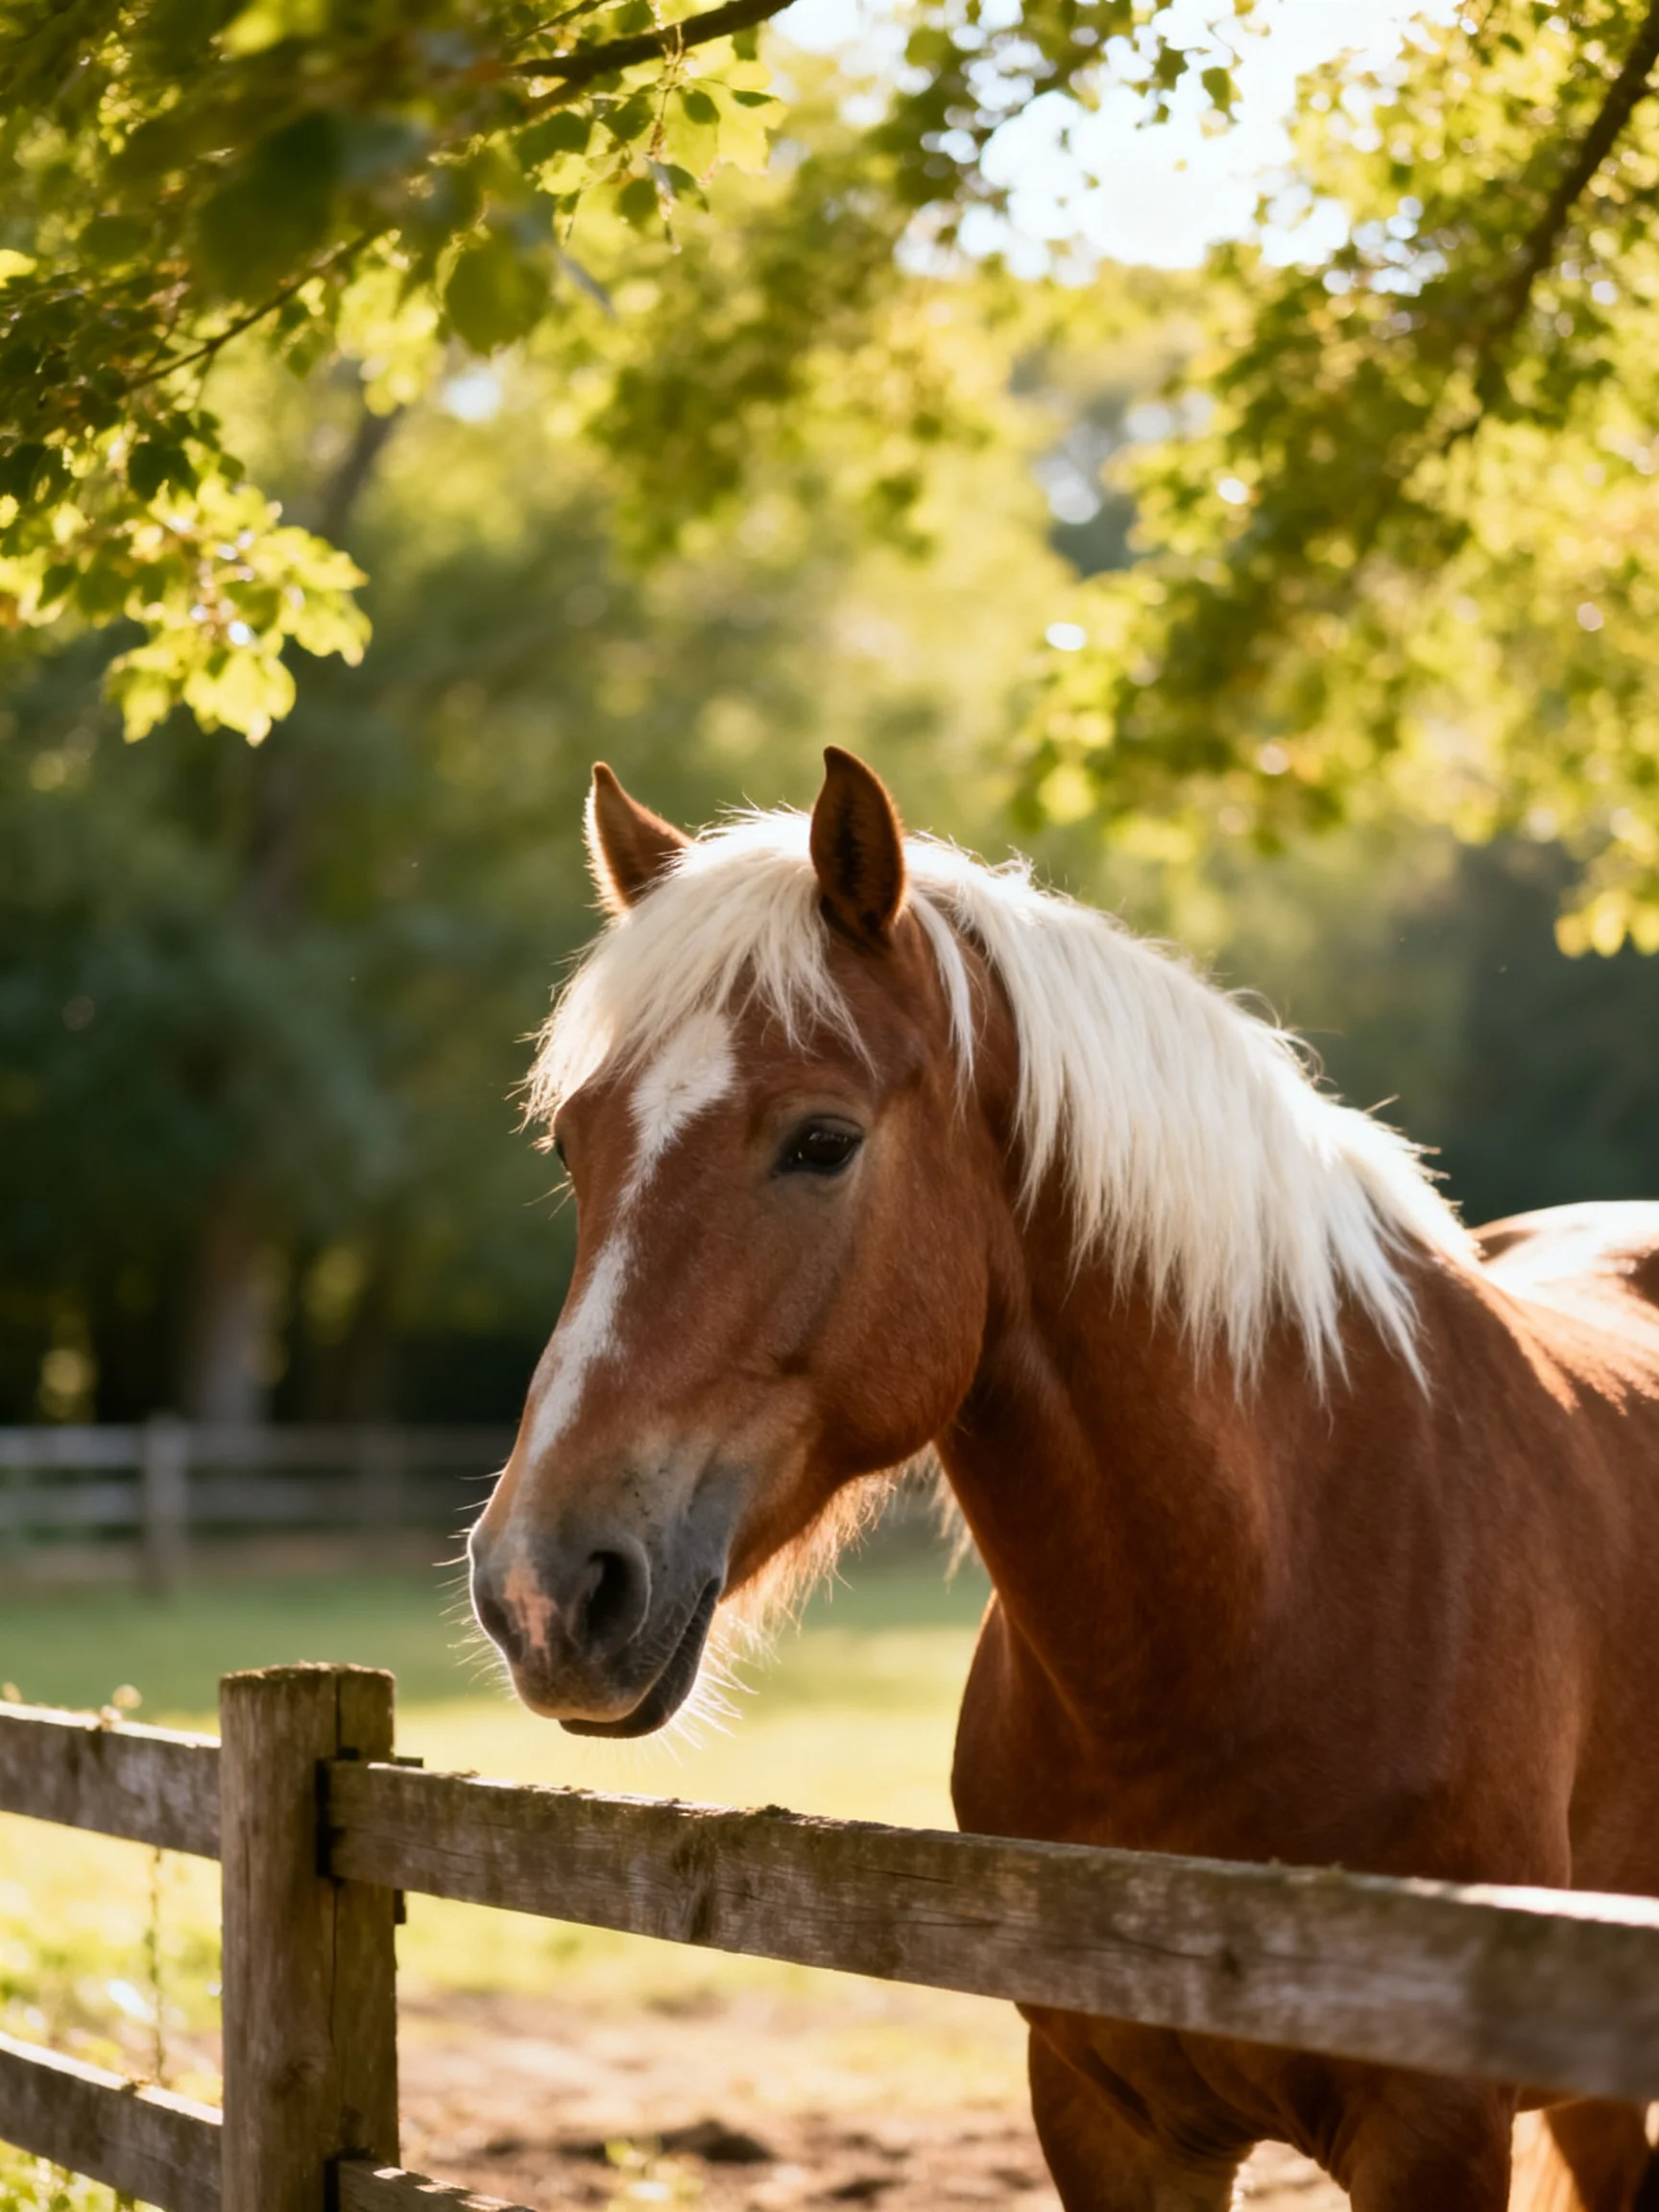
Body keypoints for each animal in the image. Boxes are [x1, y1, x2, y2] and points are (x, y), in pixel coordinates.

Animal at [468, 748, 1659, 2212]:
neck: (1268, 1597)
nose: (542, 1590)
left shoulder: (1433, 2130)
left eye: (821, 1141)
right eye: (573, 1147)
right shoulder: (1107, 2118)